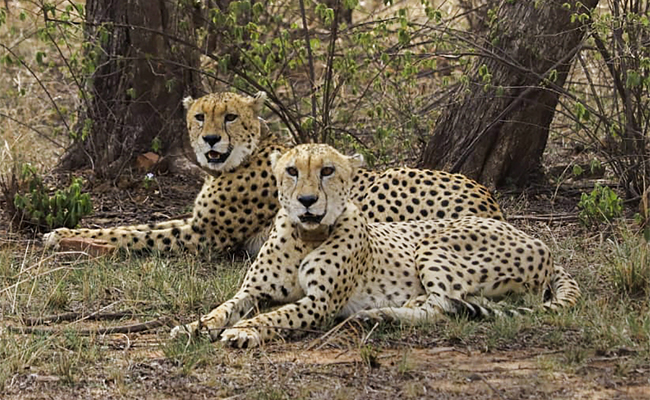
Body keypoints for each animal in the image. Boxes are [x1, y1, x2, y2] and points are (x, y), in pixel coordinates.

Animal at [43, 91, 503, 255]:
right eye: (199, 116)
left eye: (229, 116)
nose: (210, 140)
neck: (242, 158)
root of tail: (490, 200)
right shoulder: (197, 222)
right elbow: (139, 224)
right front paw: (64, 232)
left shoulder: (207, 236)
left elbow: (134, 235)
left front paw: (67, 239)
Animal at [170, 143, 581, 348]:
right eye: (291, 171)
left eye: (328, 170)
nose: (307, 201)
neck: (306, 236)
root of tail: (537, 241)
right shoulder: (253, 291)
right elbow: (223, 308)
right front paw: (193, 327)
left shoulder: (320, 303)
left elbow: (276, 316)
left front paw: (244, 331)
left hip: (433, 245)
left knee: (443, 306)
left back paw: (383, 314)